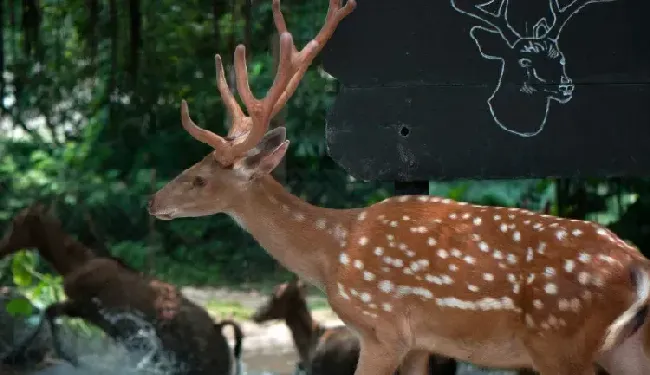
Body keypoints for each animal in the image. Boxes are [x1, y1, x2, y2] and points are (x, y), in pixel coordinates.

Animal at [0, 206, 243, 375]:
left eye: (16, 222)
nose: (1, 247)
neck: (76, 263)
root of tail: (218, 328)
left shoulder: (85, 307)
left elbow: (49, 312)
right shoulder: (88, 313)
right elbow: (49, 312)